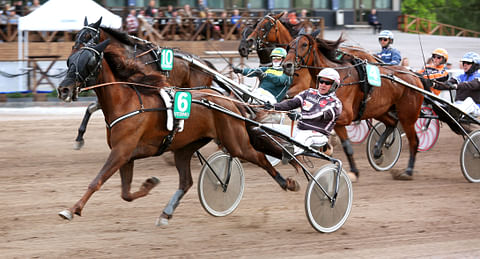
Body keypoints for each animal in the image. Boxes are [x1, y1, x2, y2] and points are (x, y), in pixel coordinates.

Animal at [56, 39, 300, 226]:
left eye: (88, 62)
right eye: (70, 60)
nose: (64, 89)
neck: (126, 102)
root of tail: (229, 101)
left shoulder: (121, 152)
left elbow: (97, 181)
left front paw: (72, 209)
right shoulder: (126, 155)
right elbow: (125, 194)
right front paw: (149, 183)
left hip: (236, 142)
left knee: (259, 157)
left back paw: (287, 183)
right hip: (185, 148)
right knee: (186, 182)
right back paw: (166, 213)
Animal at [282, 33, 424, 182]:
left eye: (304, 44)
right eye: (289, 45)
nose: (286, 65)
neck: (336, 79)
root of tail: (415, 77)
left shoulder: (345, 116)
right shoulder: (340, 122)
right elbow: (346, 146)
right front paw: (353, 171)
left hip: (407, 116)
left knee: (414, 141)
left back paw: (408, 171)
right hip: (379, 110)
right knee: (392, 123)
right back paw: (377, 151)